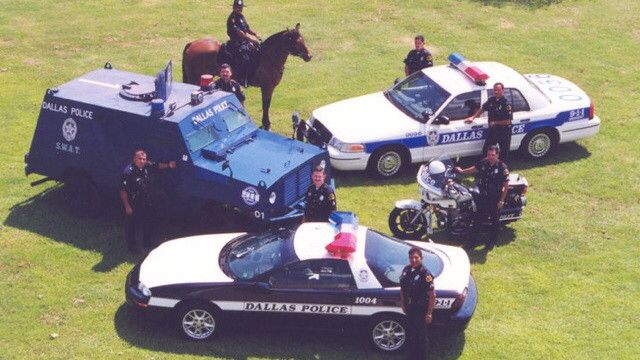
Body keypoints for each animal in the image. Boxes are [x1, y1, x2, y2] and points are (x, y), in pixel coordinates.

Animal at [181, 23, 312, 129]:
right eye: (297, 42)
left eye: (303, 39)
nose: (309, 56)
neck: (267, 57)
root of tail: (192, 44)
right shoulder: (267, 87)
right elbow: (266, 105)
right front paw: (266, 123)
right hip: (194, 79)